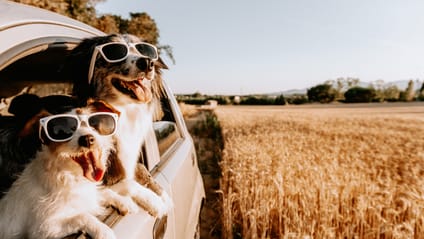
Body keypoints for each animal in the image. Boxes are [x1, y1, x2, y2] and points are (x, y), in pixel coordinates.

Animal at [0, 98, 137, 238]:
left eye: (93, 123)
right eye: (62, 132)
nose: (87, 139)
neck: (69, 174)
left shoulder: (88, 195)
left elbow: (105, 192)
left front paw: (124, 202)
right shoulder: (42, 229)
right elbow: (82, 216)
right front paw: (103, 231)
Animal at [65, 33, 171, 218]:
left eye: (144, 50)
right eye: (114, 51)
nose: (147, 63)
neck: (122, 112)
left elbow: (141, 170)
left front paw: (163, 195)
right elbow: (127, 183)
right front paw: (154, 200)